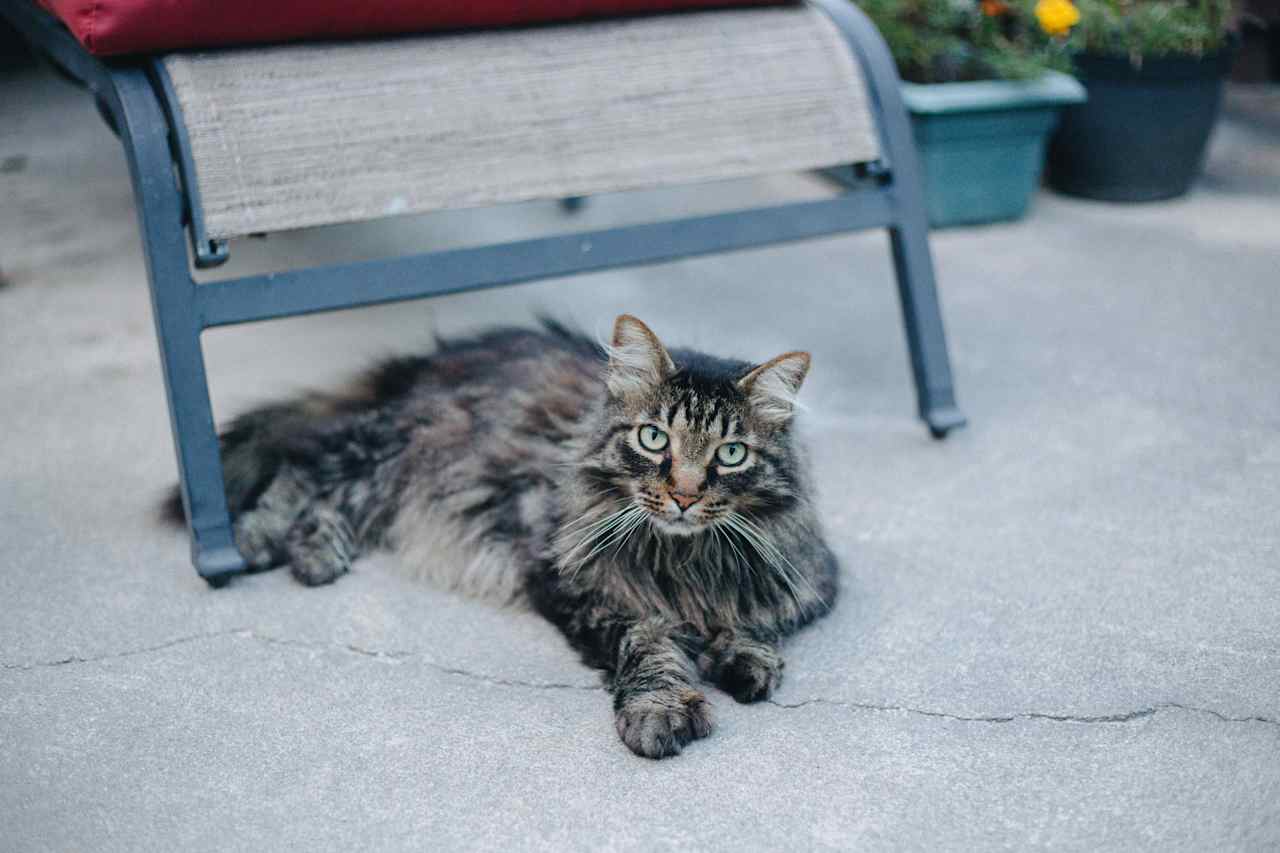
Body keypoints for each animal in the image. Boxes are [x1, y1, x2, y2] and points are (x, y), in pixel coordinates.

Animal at [172, 315, 839, 753]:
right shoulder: (570, 582)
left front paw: (745, 658)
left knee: (336, 500)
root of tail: (433, 361)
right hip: (395, 448)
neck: (685, 557)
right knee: (304, 469)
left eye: (730, 454)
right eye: (654, 439)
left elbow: (756, 618)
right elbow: (649, 642)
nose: (684, 494)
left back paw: (315, 553)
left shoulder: (808, 577)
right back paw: (257, 543)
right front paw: (661, 709)